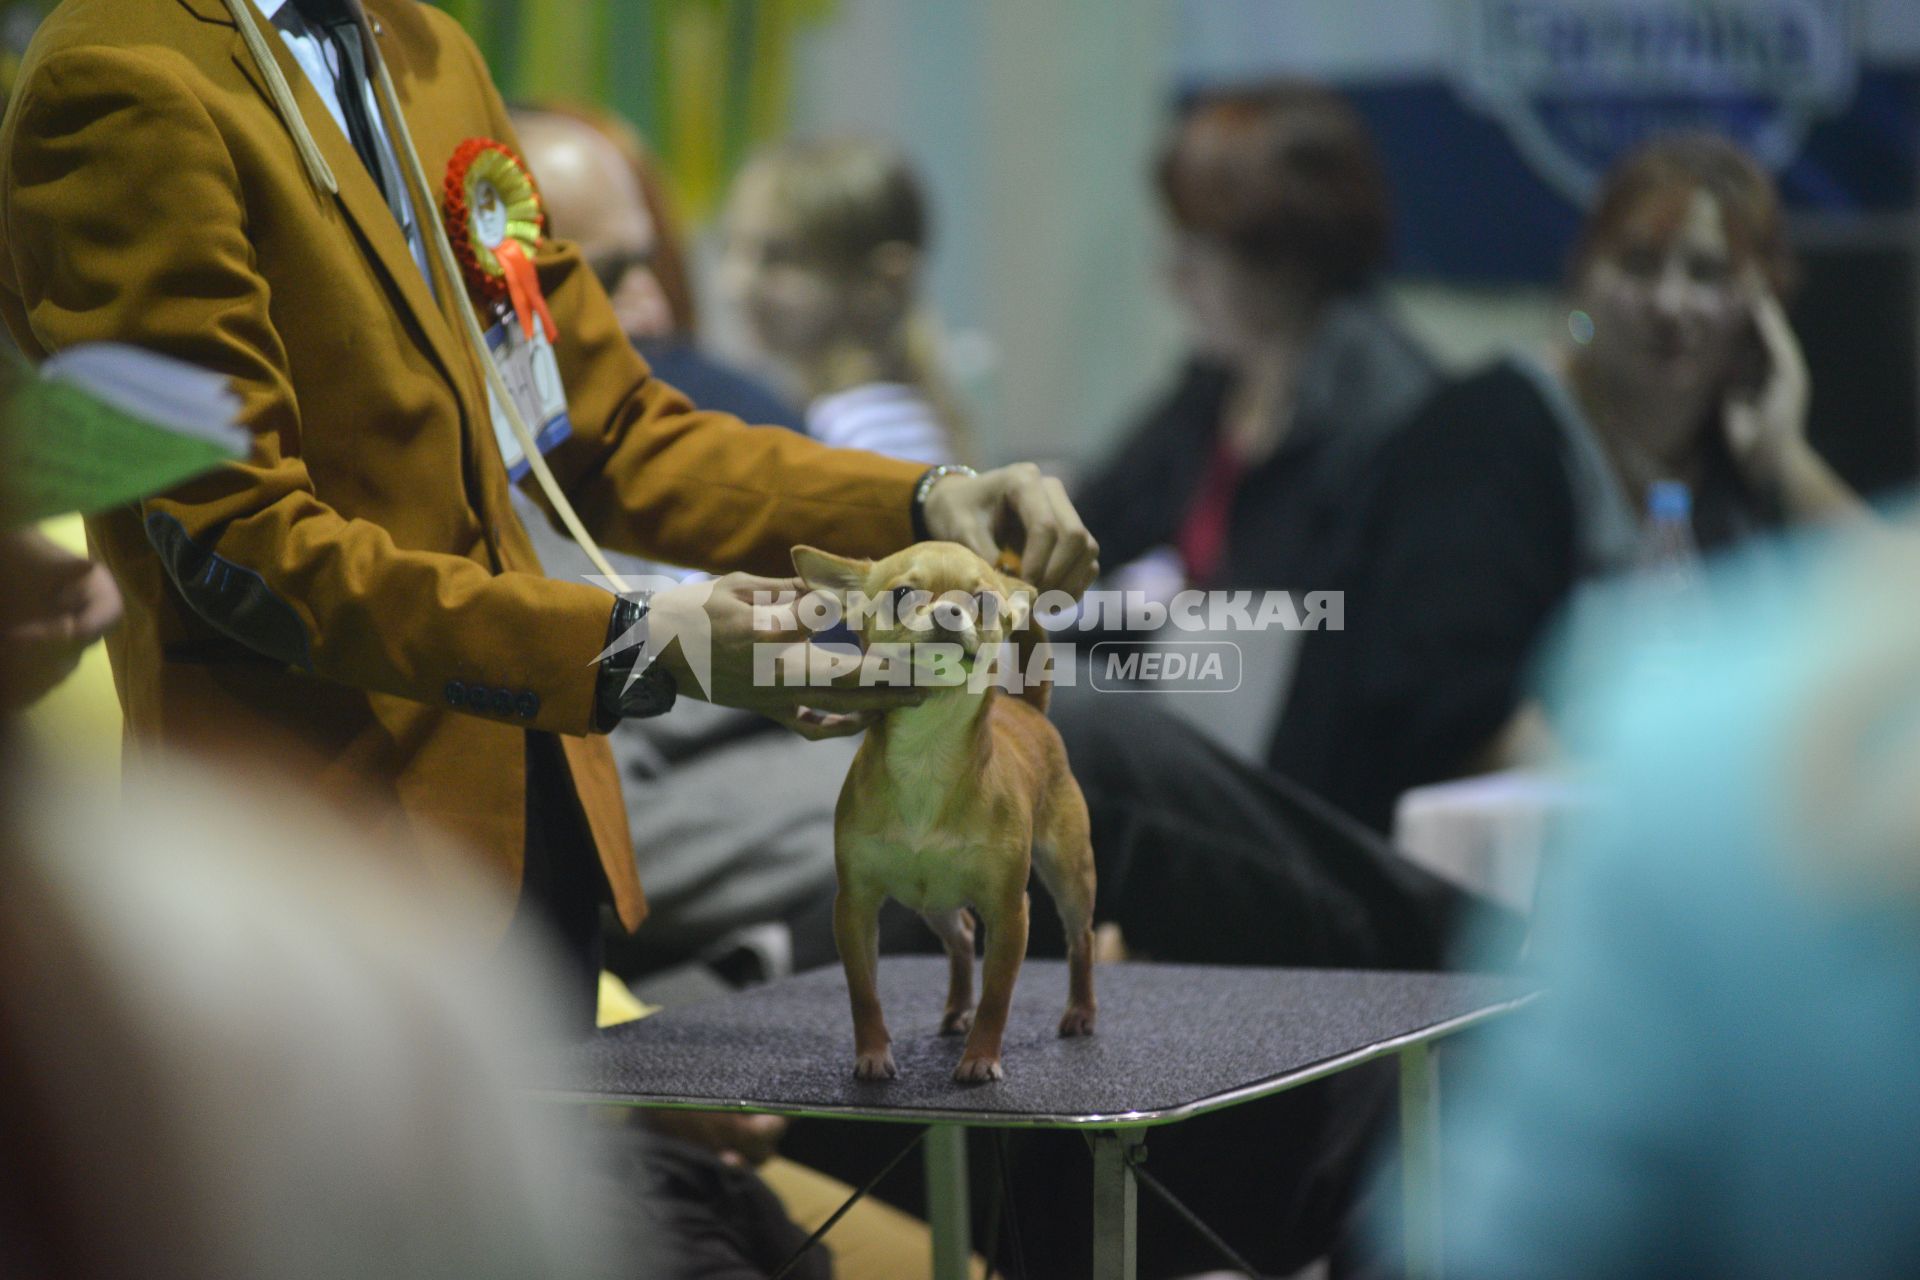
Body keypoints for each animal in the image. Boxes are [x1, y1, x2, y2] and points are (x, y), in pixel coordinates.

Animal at [791, 537, 1098, 1082]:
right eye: (903, 594)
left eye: (985, 601)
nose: (951, 611)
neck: (927, 749)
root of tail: (1027, 708)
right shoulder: (855, 907)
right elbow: (863, 992)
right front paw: (873, 1053)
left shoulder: (1009, 910)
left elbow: (999, 994)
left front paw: (980, 1058)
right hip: (932, 900)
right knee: (961, 938)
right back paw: (957, 1010)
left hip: (1069, 872)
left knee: (1079, 938)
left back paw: (1080, 1011)